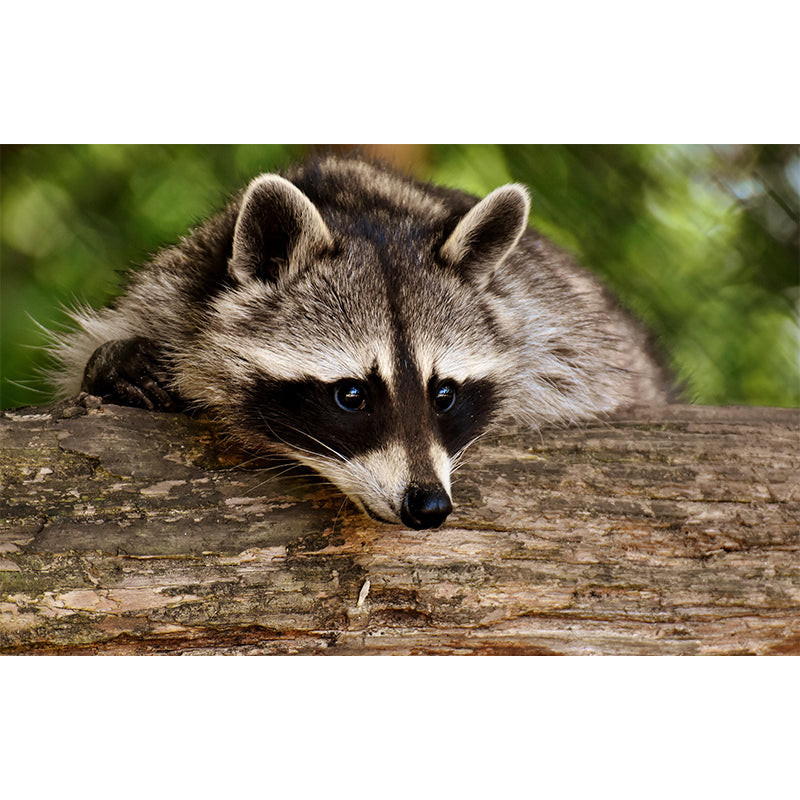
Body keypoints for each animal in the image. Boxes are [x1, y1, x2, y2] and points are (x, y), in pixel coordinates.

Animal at [50, 155, 670, 529]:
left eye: (444, 394)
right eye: (351, 395)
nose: (428, 507)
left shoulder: (557, 328)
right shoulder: (169, 291)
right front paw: (113, 365)